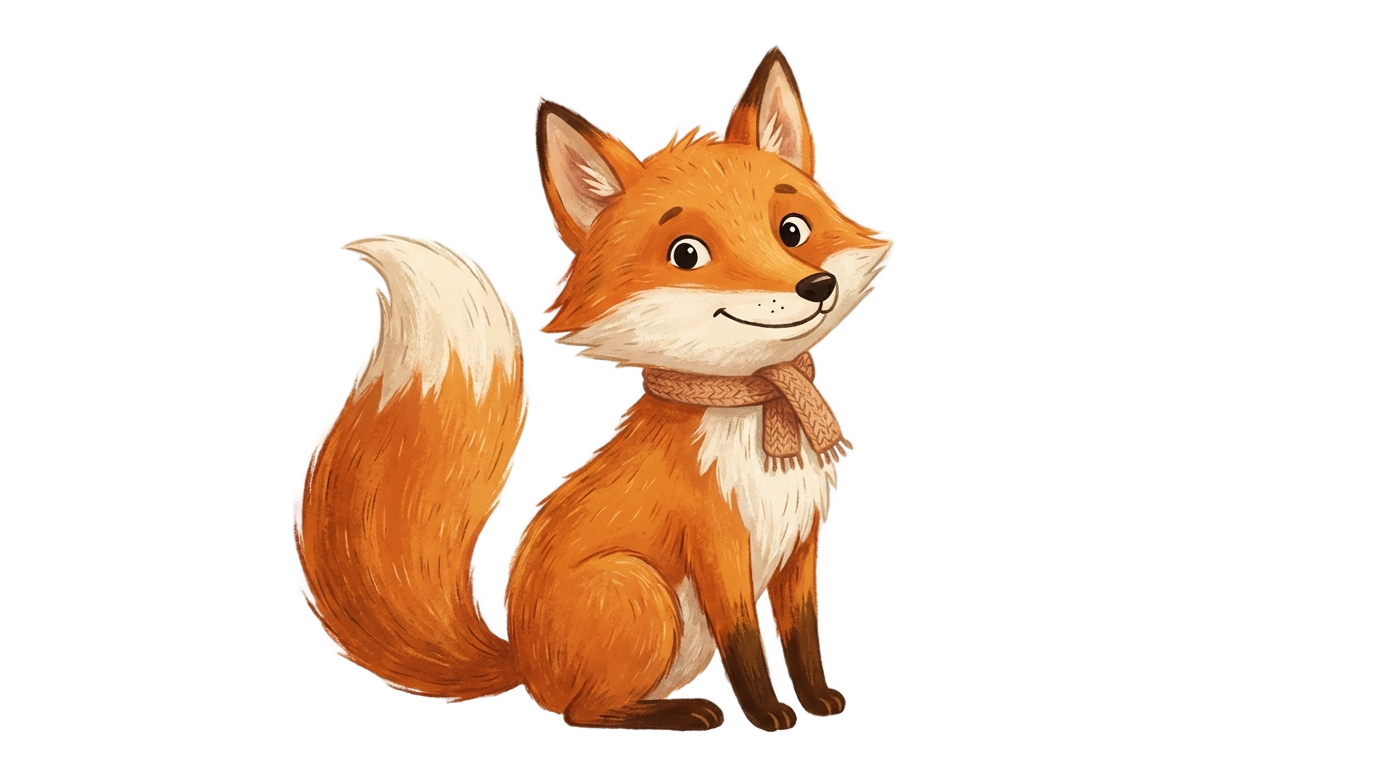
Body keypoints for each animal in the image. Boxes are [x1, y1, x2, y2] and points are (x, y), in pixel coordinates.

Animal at [297, 49, 889, 731]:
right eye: (687, 253)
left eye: (792, 230)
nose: (816, 287)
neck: (758, 408)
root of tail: (523, 658)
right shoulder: (717, 548)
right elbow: (745, 646)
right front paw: (769, 715)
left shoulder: (799, 544)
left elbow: (800, 637)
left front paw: (817, 700)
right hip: (639, 588)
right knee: (580, 713)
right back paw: (676, 713)